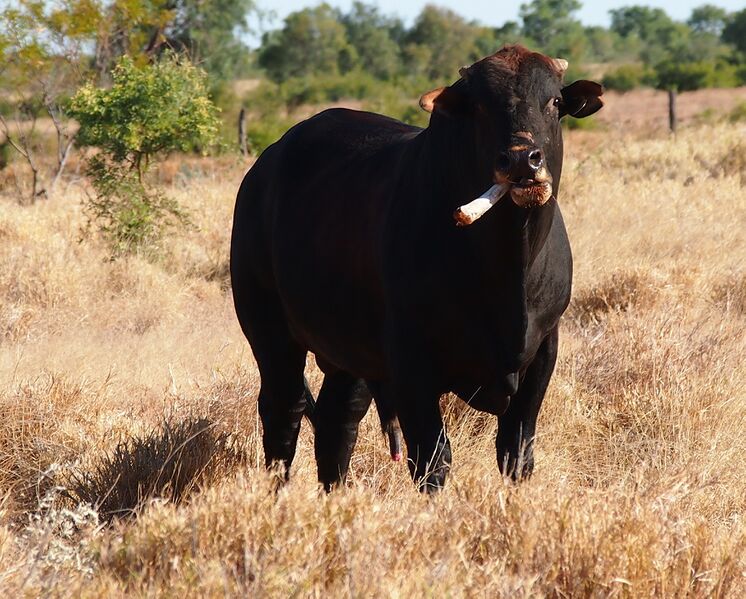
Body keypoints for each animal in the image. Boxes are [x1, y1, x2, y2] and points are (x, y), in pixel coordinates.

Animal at [230, 45, 603, 492]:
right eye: (479, 107)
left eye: (554, 102)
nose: (520, 161)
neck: (509, 269)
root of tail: (264, 167)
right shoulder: (410, 364)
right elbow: (432, 461)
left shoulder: (543, 351)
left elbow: (517, 453)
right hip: (269, 331)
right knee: (283, 411)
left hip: (348, 350)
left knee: (338, 422)